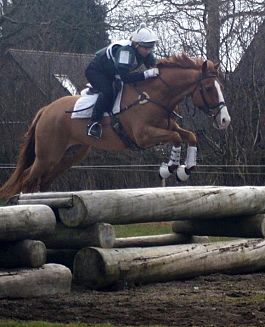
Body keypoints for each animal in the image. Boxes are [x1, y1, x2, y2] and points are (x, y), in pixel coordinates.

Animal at [0, 53, 229, 200]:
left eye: (221, 87)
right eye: (209, 88)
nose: (225, 120)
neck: (154, 96)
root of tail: (45, 110)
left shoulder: (168, 126)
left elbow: (189, 136)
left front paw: (186, 169)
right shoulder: (143, 136)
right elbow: (176, 138)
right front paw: (170, 168)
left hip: (70, 155)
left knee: (41, 182)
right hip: (48, 155)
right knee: (26, 180)